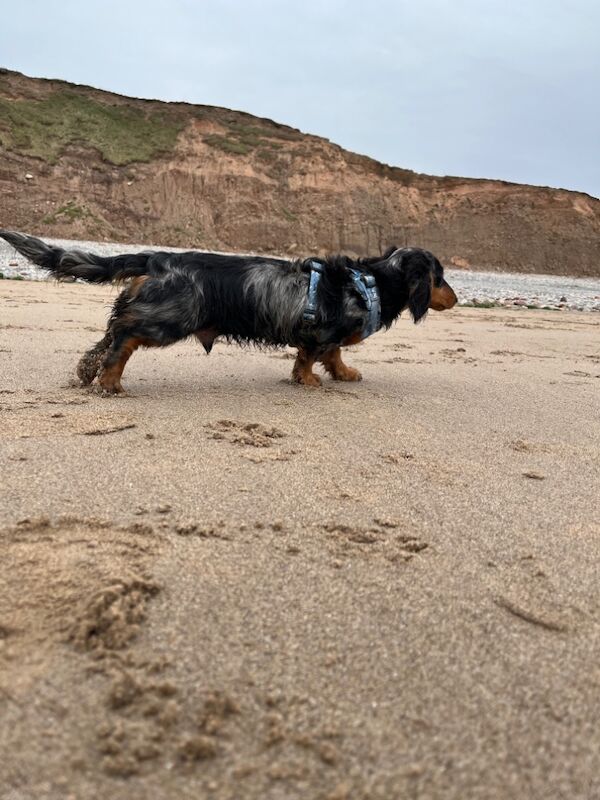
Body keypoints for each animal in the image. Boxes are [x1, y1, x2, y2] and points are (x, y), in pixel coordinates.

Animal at [2, 230, 458, 392]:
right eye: (440, 277)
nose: (456, 299)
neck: (372, 282)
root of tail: (157, 258)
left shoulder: (326, 336)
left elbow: (333, 356)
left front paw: (344, 374)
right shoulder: (320, 332)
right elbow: (313, 357)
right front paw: (309, 381)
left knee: (109, 332)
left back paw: (87, 372)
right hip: (170, 319)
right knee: (124, 335)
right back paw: (110, 380)